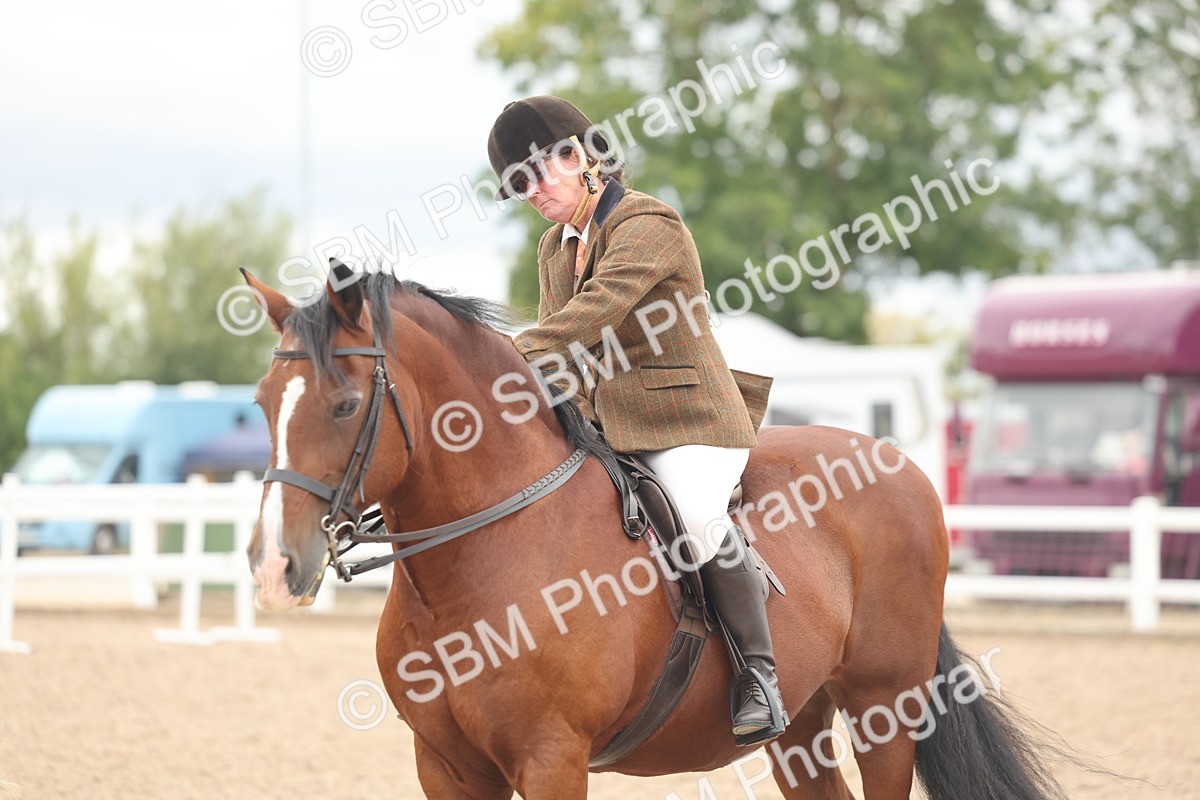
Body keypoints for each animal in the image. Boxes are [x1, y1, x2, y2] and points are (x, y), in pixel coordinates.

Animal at [242, 267, 1069, 800]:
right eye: (259, 402)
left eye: (345, 405)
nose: (274, 568)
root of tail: (897, 463)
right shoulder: (445, 764)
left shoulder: (551, 759)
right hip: (802, 720)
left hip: (884, 708)